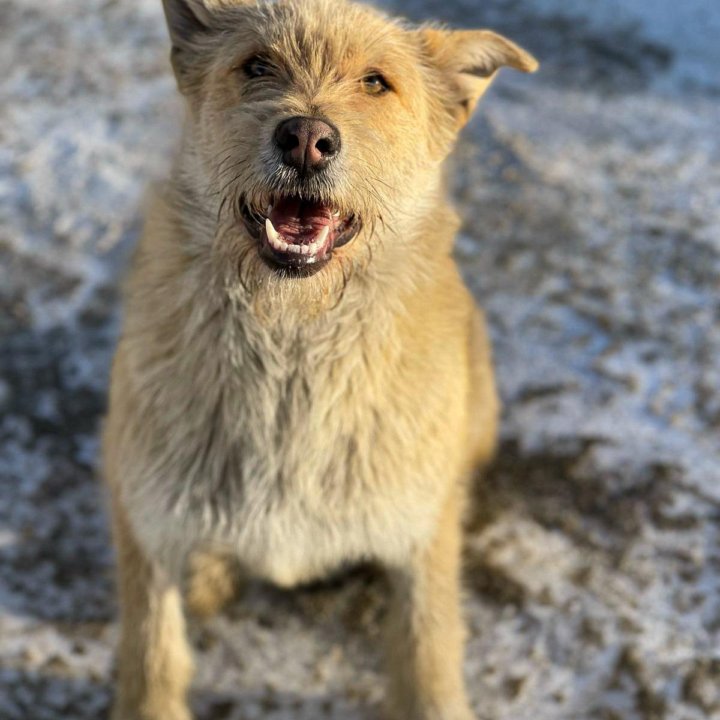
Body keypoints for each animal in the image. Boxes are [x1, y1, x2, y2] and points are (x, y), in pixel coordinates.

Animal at [104, 1, 536, 720]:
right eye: (256, 65)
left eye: (376, 82)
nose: (305, 138)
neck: (292, 343)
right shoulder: (144, 517)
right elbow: (152, 660)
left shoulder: (422, 538)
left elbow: (428, 657)